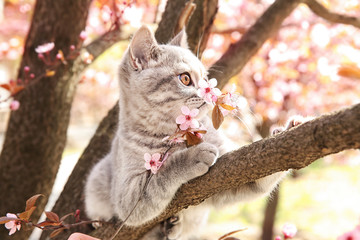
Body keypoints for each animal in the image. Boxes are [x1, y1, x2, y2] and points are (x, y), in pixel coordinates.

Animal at [85, 25, 286, 239]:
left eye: (205, 78)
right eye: (185, 78)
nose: (209, 91)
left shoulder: (229, 175)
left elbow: (259, 178)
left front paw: (283, 131)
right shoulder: (128, 198)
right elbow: (159, 177)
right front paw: (193, 156)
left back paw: (173, 225)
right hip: (97, 176)